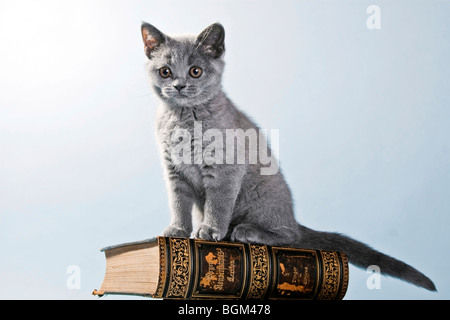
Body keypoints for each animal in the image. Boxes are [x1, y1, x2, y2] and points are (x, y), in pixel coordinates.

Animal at [141, 21, 436, 292]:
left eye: (195, 71)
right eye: (165, 72)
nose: (179, 85)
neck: (182, 120)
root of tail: (293, 217)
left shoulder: (225, 169)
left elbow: (218, 203)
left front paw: (210, 230)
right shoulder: (174, 170)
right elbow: (178, 202)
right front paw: (178, 230)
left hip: (262, 195)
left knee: (290, 236)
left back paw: (247, 231)